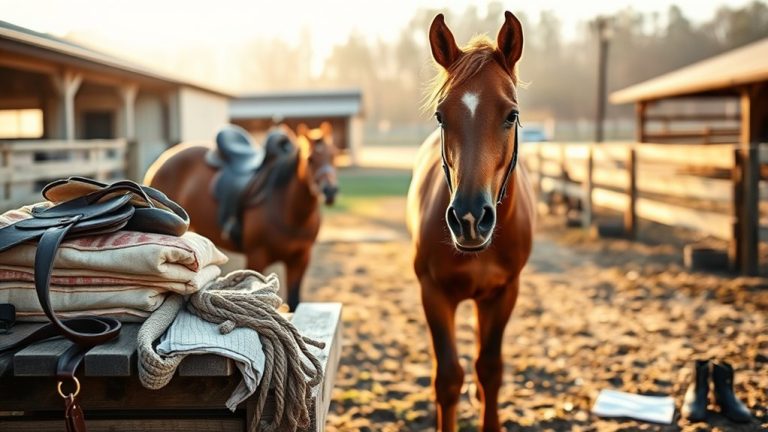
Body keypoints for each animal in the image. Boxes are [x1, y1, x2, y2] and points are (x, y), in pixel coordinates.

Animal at [144, 122, 339, 311]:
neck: (289, 211)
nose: (330, 191)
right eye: (310, 159)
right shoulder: (256, 257)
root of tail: (164, 158)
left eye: (334, 156)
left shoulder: (301, 259)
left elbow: (294, 301)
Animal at [406, 12, 534, 431]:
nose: (469, 217)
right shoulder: (433, 293)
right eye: (441, 116)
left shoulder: (505, 292)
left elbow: (490, 369)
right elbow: (447, 377)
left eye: (511, 115)